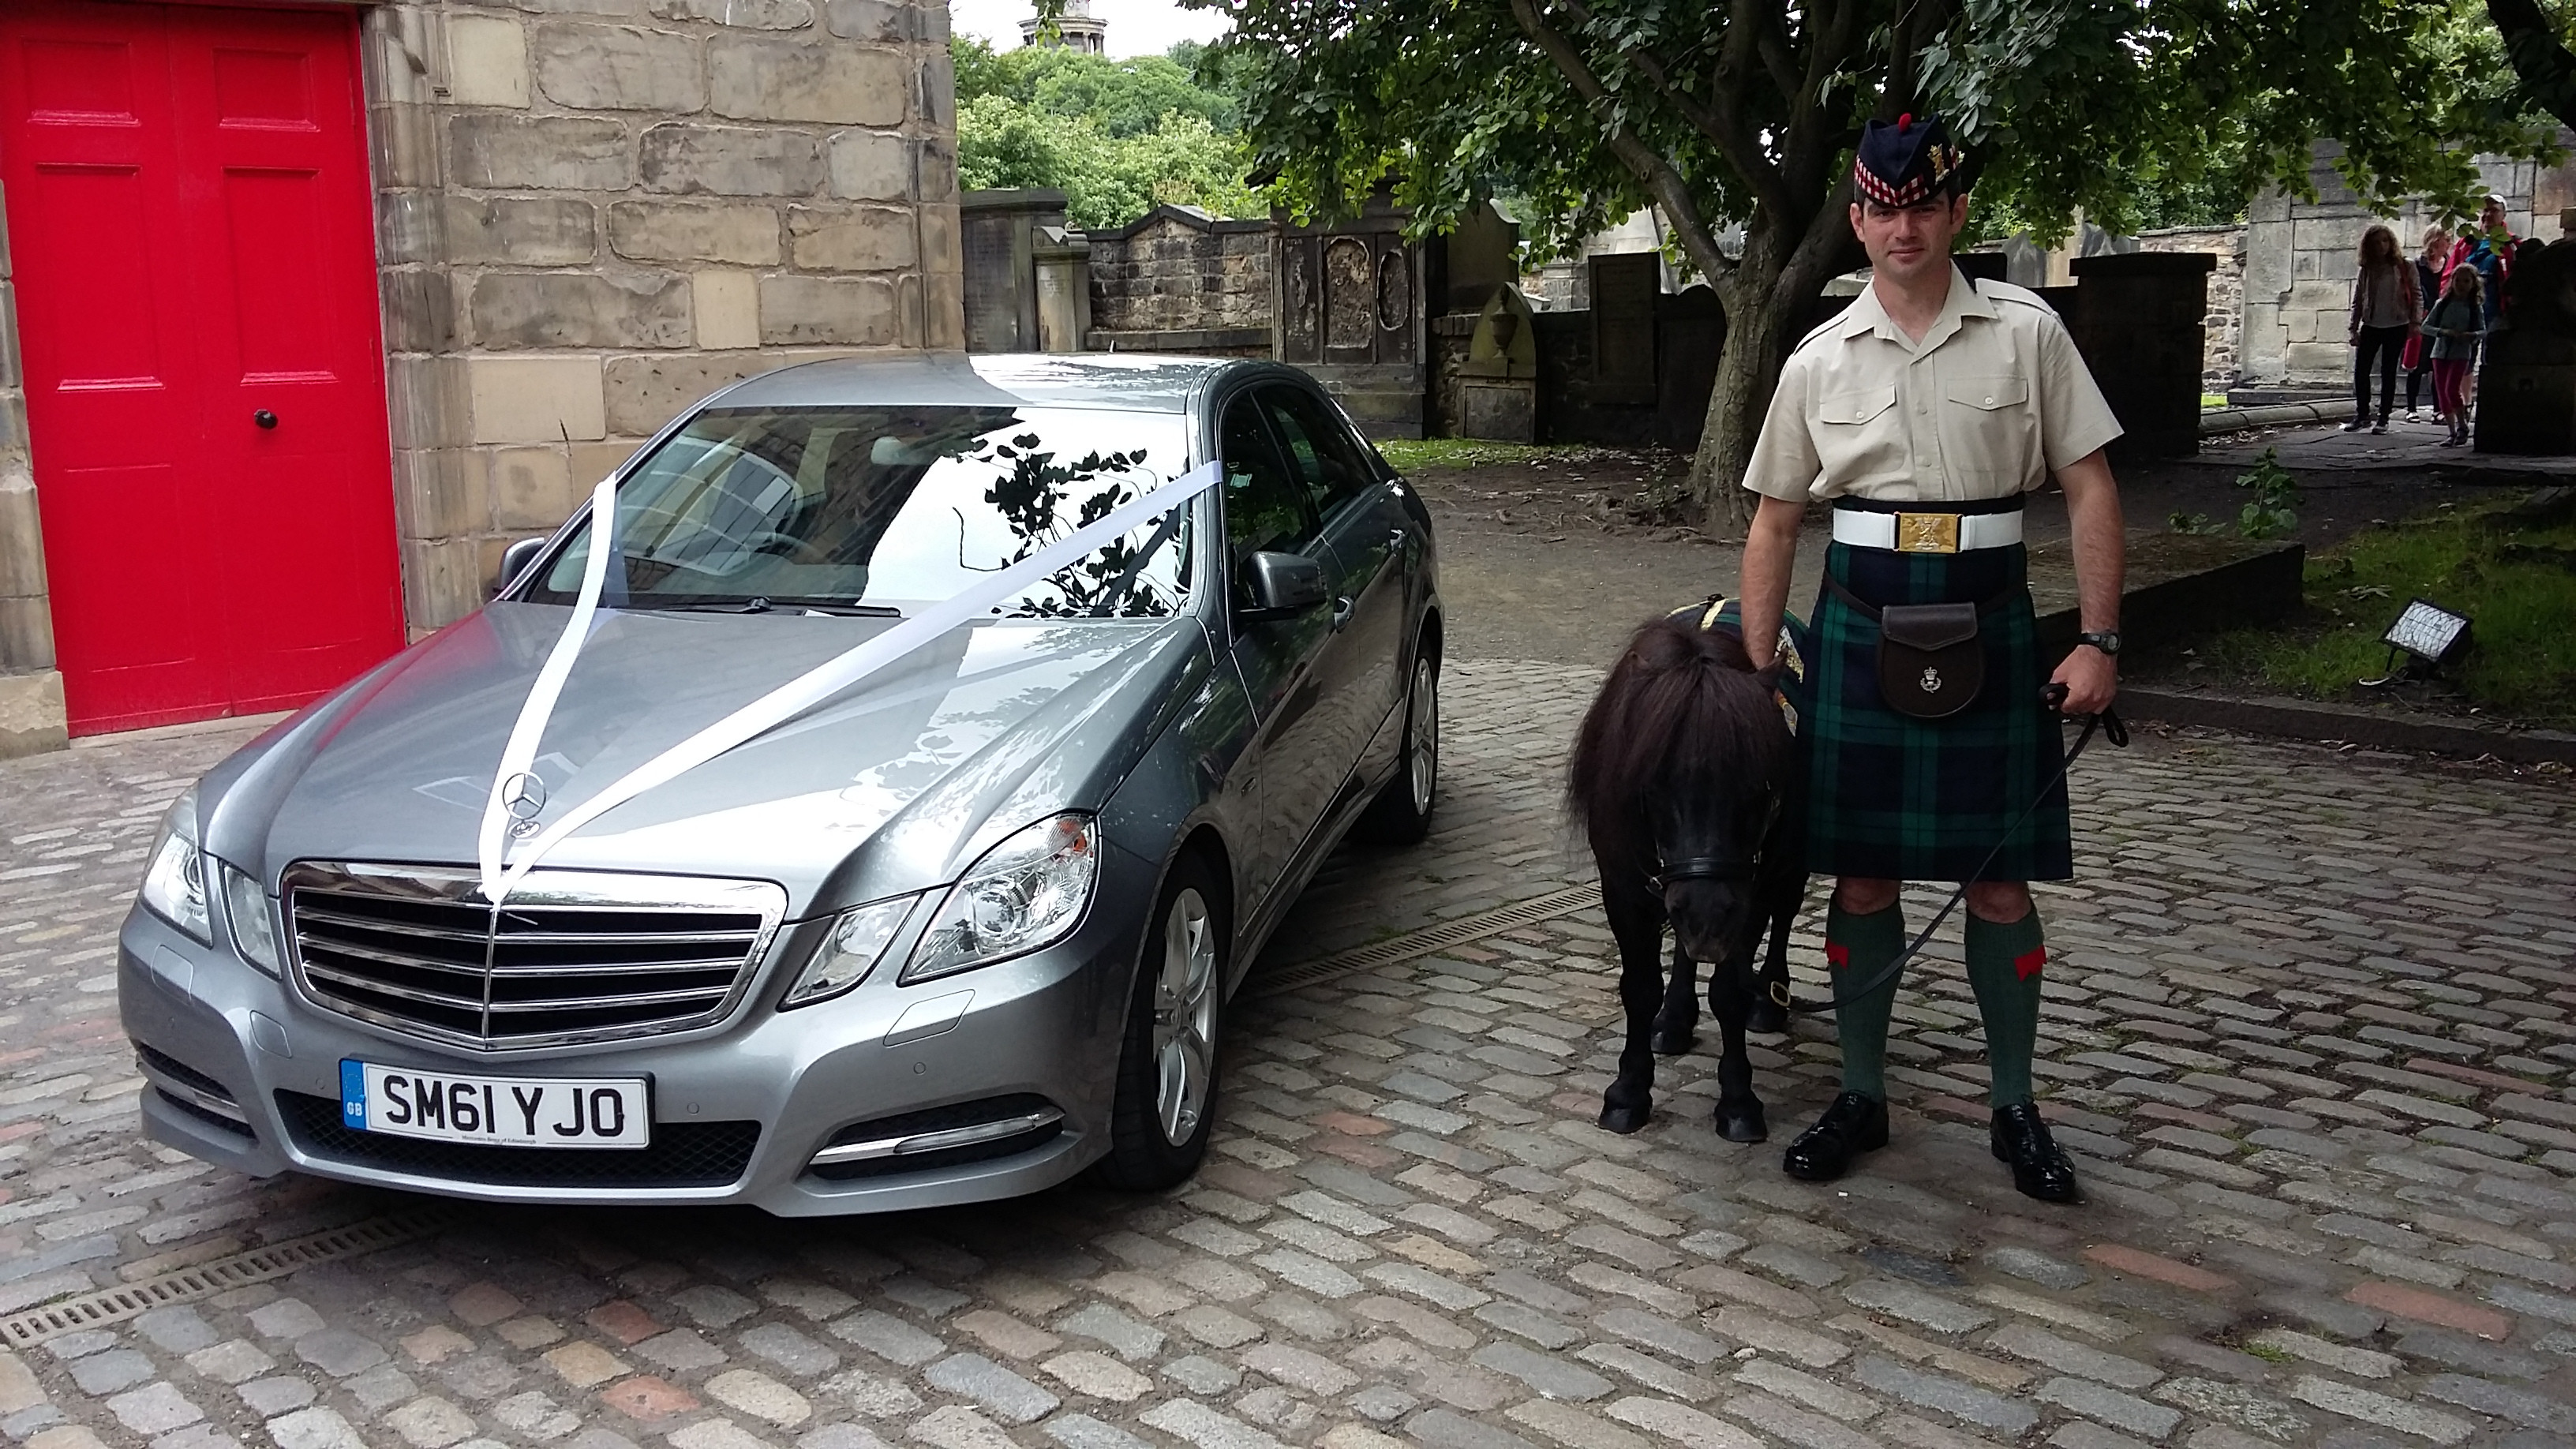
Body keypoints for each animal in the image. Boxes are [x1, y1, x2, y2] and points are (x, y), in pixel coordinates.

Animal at [1556, 608, 1803, 1139]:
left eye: (1760, 786)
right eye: (1653, 781)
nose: (1706, 915)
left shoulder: (1745, 900)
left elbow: (1729, 992)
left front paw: (1738, 1100)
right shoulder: (1625, 892)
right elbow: (1640, 987)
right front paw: (1628, 1091)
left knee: (1786, 913)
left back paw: (1769, 1001)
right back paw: (1674, 1018)